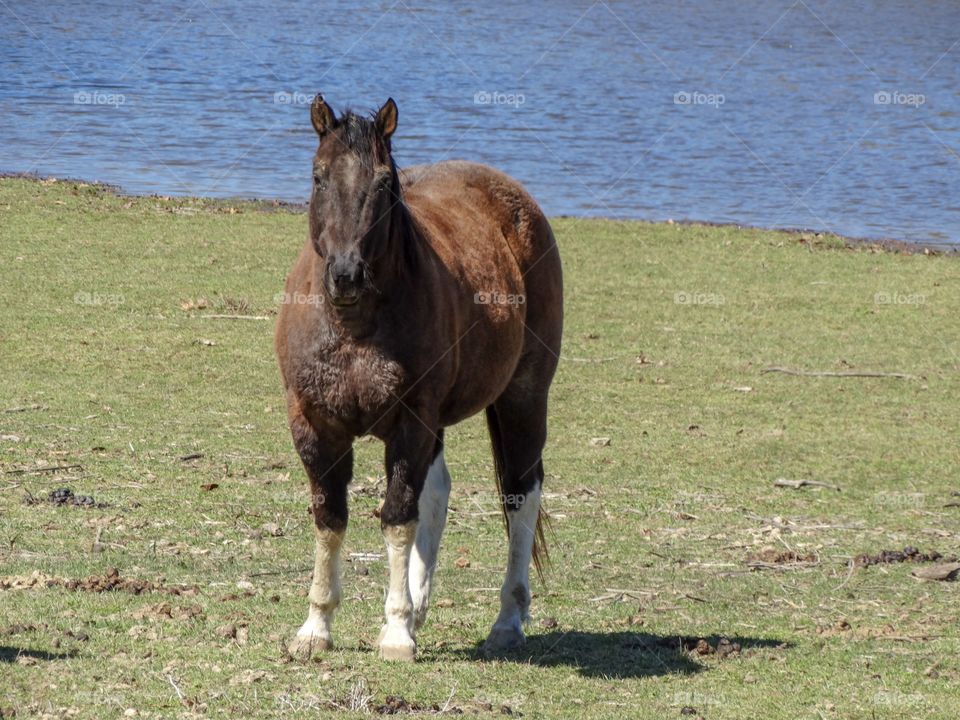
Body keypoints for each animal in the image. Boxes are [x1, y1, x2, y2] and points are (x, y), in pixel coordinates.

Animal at [274, 95, 563, 661]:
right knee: (438, 491)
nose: (346, 274)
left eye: (384, 182)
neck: (353, 327)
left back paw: (507, 619)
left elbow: (396, 517)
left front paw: (396, 632)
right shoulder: (315, 425)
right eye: (318, 176)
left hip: (521, 400)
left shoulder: (410, 422)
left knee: (521, 493)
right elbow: (330, 518)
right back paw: (422, 601)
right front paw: (316, 627)